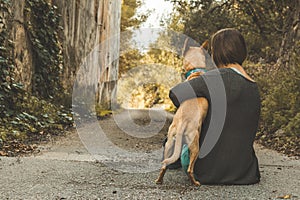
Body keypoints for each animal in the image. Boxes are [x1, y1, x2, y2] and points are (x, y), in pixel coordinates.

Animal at [156, 40, 210, 186]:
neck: (196, 70)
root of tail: (181, 125)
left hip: (169, 144)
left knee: (164, 166)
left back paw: (159, 180)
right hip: (195, 146)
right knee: (190, 169)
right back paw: (195, 182)